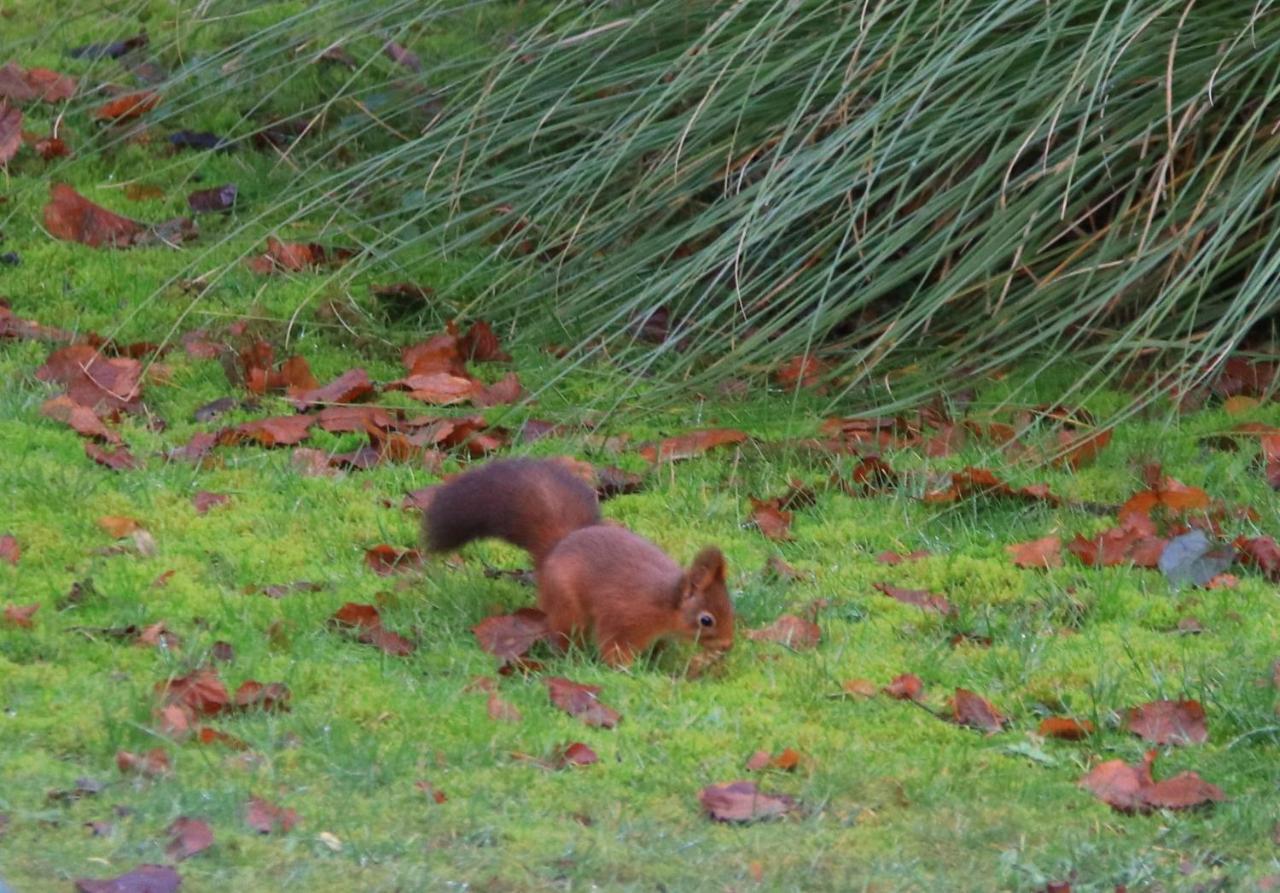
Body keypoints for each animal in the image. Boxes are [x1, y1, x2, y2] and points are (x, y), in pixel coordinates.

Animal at [424, 458, 737, 660]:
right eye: (706, 620)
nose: (727, 645)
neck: (665, 604)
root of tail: (556, 548)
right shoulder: (624, 618)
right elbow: (614, 647)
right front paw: (625, 669)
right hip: (567, 605)